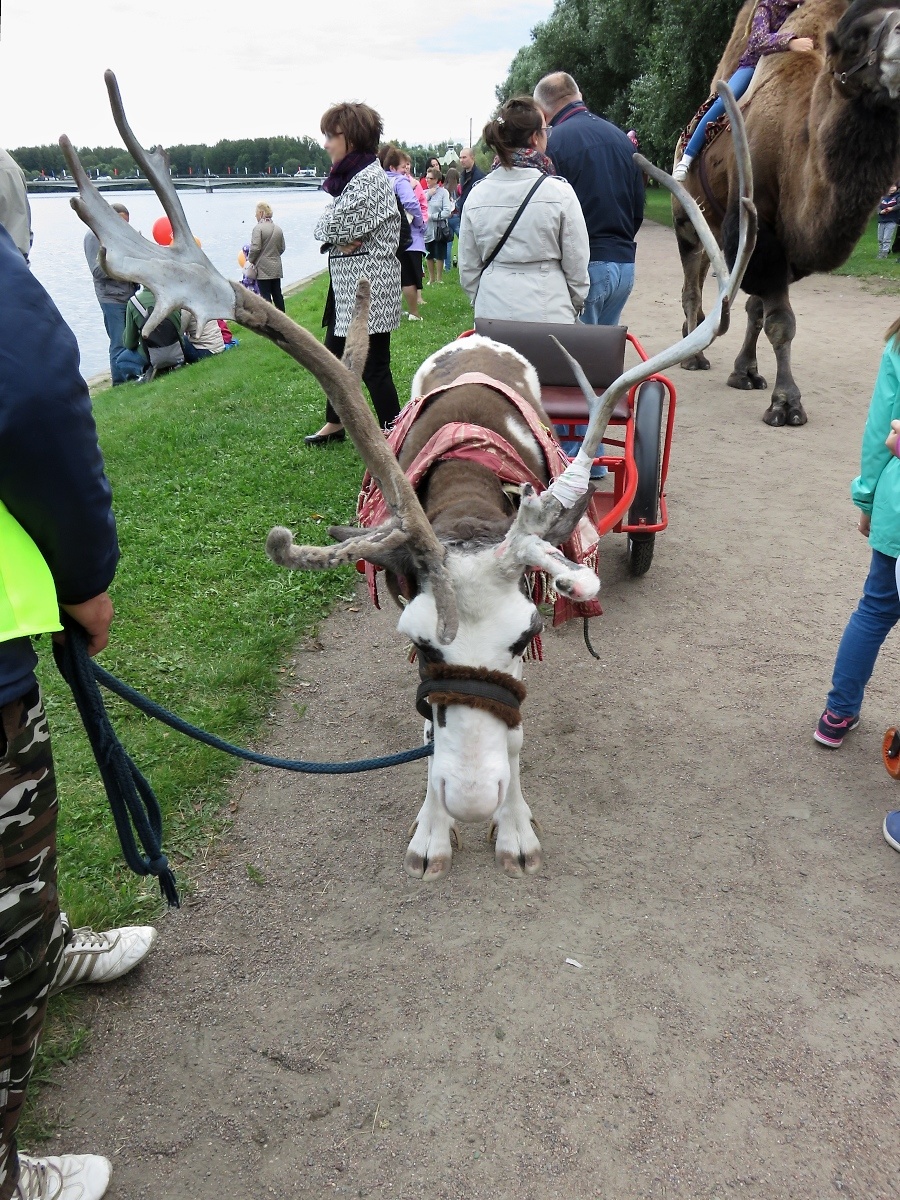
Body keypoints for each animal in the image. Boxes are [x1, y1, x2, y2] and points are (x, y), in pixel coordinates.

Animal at [676, 0, 900, 427]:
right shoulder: (758, 230)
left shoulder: (785, 250)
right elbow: (781, 322)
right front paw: (786, 404)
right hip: (687, 220)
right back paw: (693, 356)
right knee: (691, 282)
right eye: (855, 36)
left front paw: (746, 373)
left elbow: (758, 310)